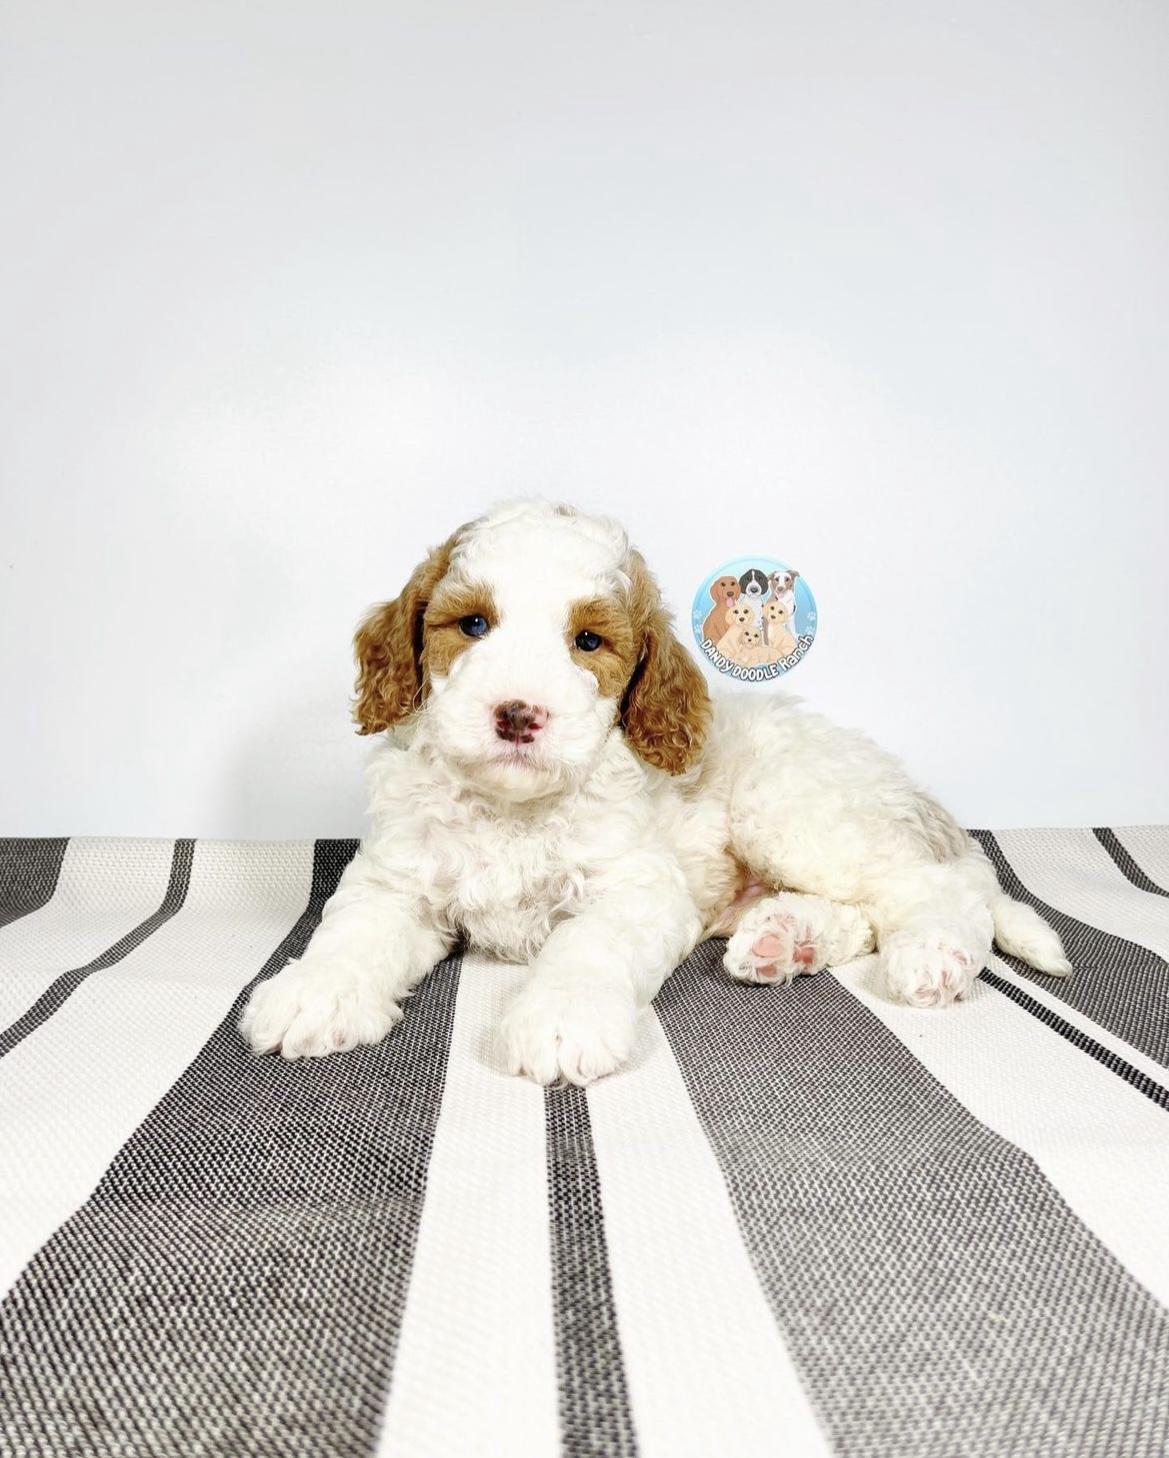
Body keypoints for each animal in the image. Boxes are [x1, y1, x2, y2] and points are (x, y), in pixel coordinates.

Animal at [241, 500, 1071, 1086]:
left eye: (588, 641)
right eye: (472, 624)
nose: (516, 714)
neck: (514, 809)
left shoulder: (635, 888)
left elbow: (586, 945)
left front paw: (563, 1019)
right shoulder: (396, 879)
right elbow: (353, 931)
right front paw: (315, 993)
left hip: (796, 813)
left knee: (934, 889)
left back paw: (930, 955)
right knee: (866, 914)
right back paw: (785, 940)